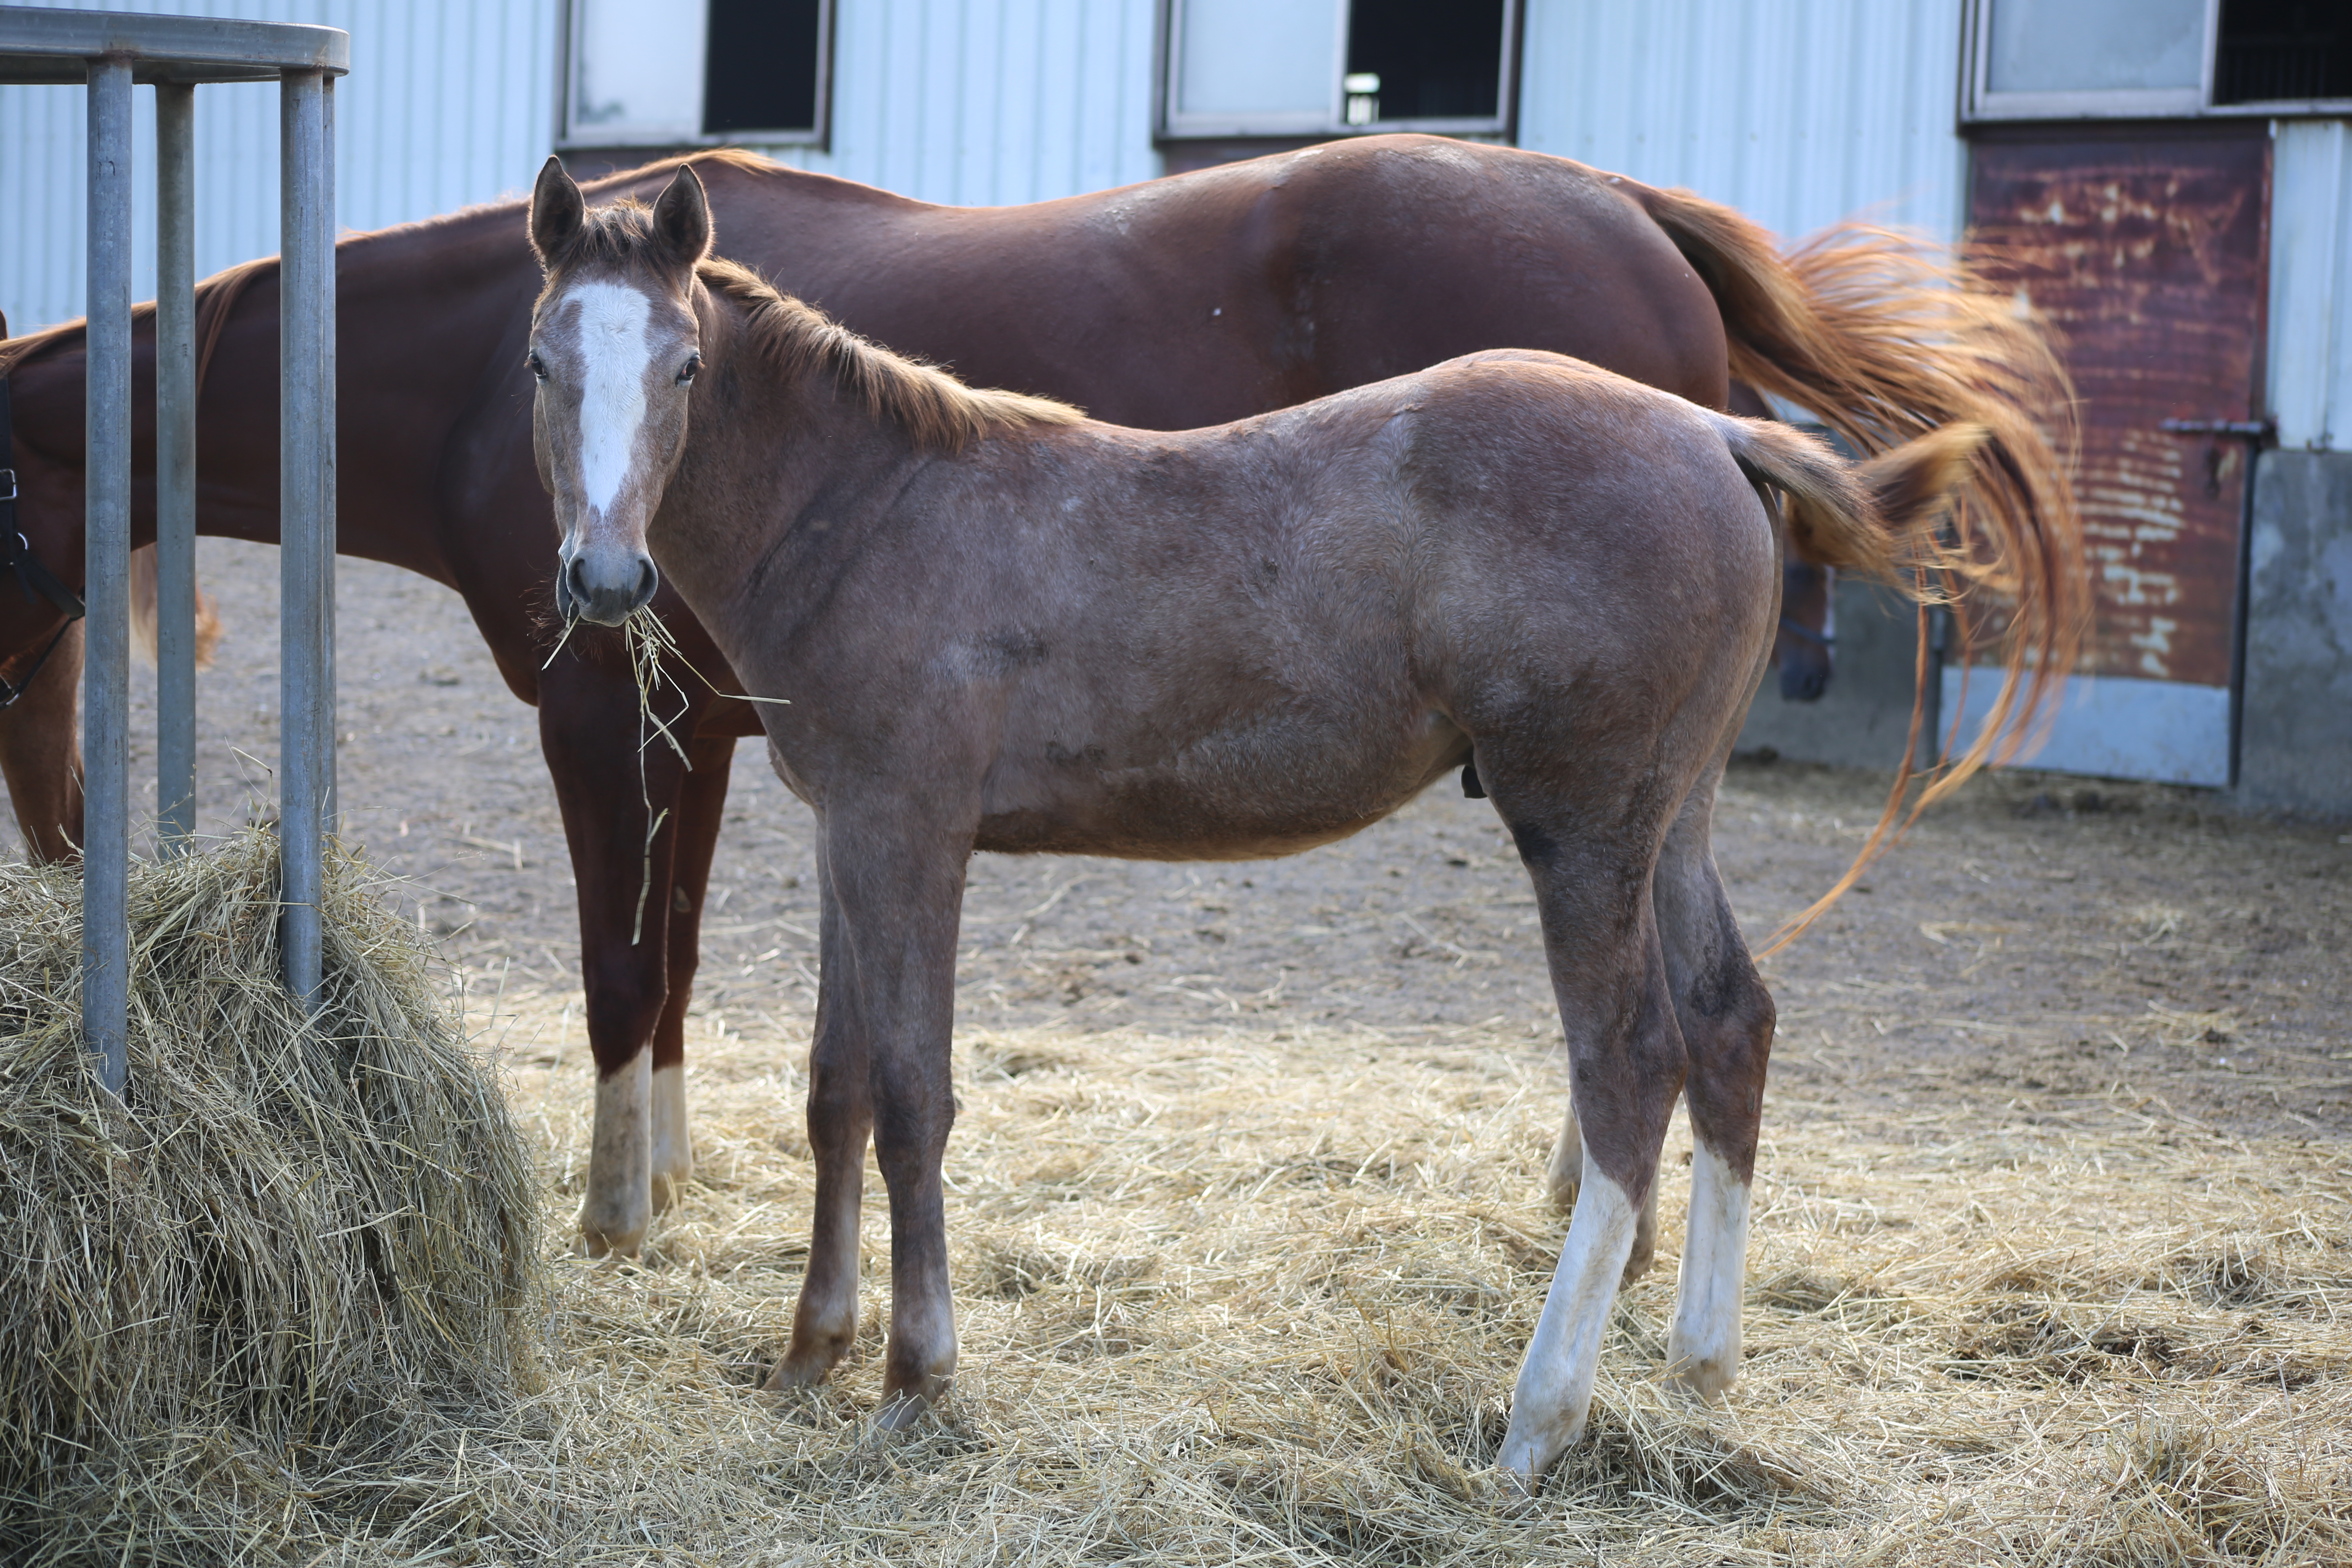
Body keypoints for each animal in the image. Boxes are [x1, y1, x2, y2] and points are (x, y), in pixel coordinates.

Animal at [0, 135, 2079, 1260]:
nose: (55, 817)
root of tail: (1624, 209)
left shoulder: (610, 720)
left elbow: (618, 971)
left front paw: (612, 1219)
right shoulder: (718, 743)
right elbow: (676, 975)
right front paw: (670, 1186)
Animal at [519, 165, 1985, 1495]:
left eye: (686, 366)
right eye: (541, 363)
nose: (606, 579)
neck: (875, 507)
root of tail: (1714, 434)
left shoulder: (910, 833)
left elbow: (912, 1098)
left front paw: (916, 1383)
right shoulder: (846, 835)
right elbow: (834, 1089)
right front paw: (809, 1356)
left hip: (1583, 825)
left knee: (1630, 1066)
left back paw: (1538, 1423)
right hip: (1675, 814)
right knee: (1731, 1023)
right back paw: (1700, 1369)